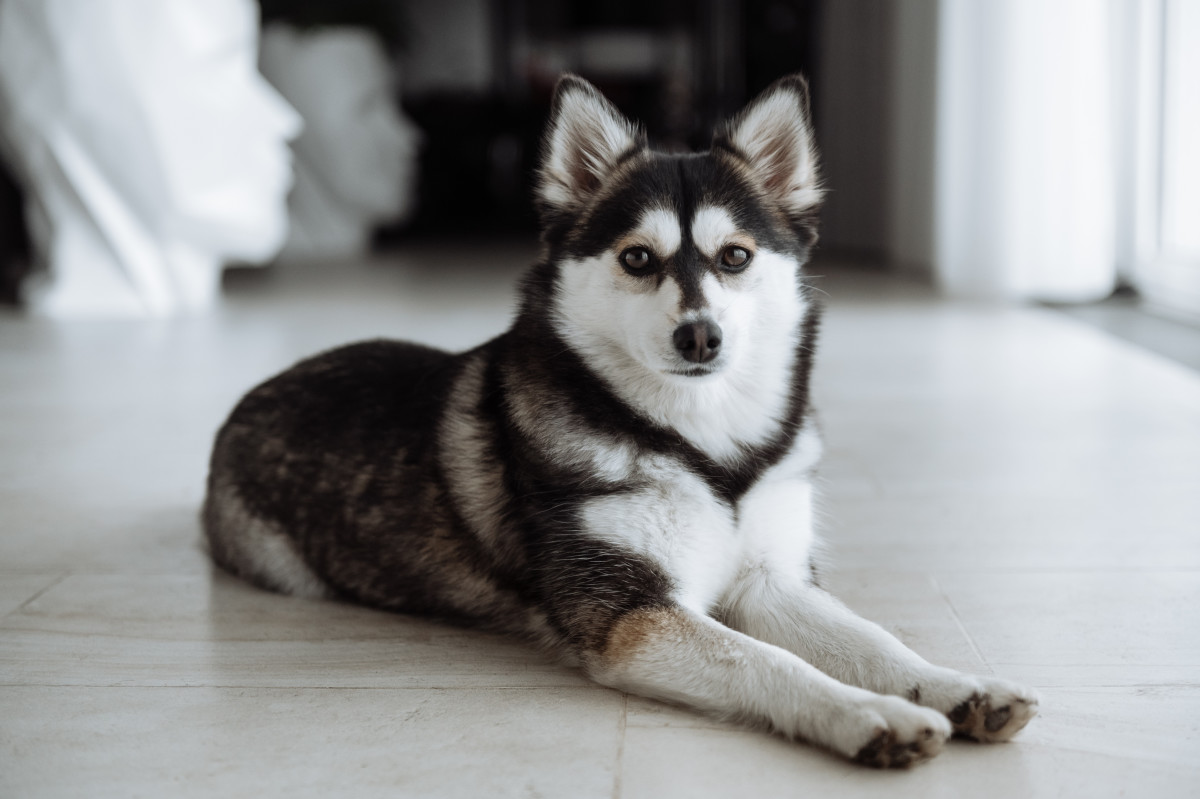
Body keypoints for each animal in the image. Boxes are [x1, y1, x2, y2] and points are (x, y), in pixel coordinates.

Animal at [201, 74, 1036, 767]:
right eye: (638, 258)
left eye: (735, 257)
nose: (700, 336)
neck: (707, 449)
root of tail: (254, 393)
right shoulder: (631, 614)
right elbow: (770, 661)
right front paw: (869, 714)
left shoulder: (770, 581)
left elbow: (871, 637)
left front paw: (955, 685)